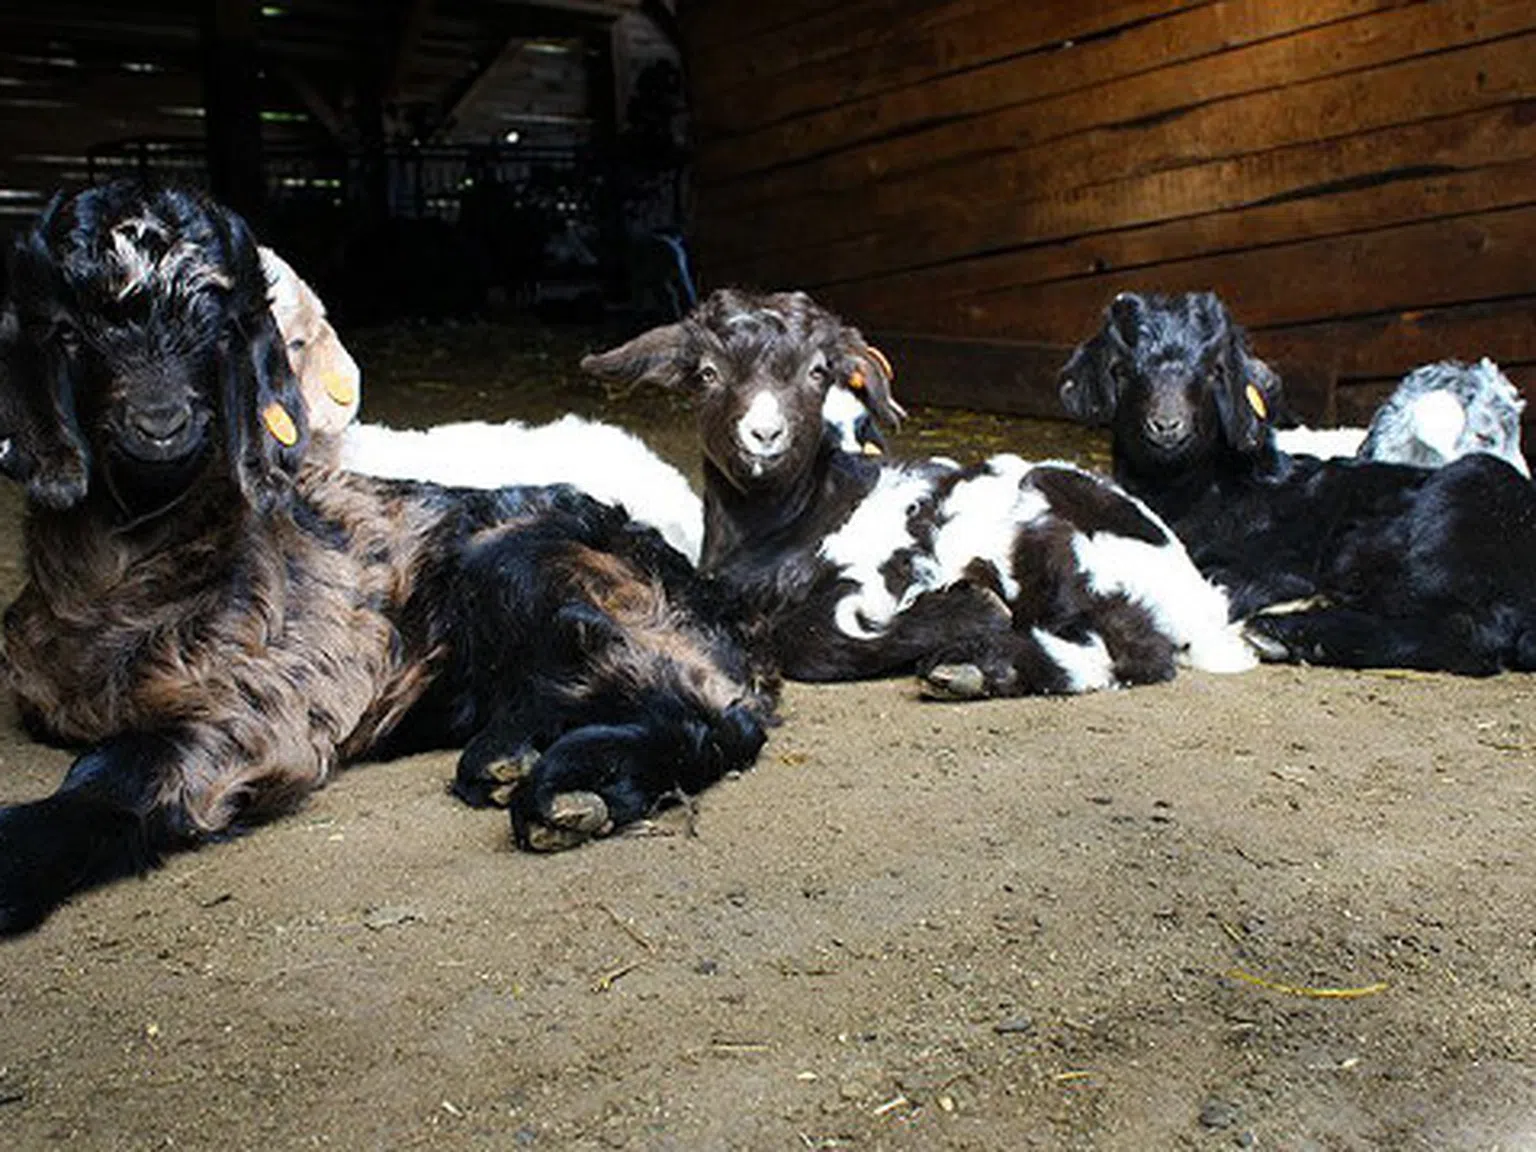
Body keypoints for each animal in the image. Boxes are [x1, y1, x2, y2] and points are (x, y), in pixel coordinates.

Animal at [0, 182, 774, 940]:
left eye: (220, 329)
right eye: (69, 331)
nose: (160, 424)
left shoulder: (264, 706)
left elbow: (114, 772)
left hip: (526, 566)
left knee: (711, 715)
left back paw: (563, 788)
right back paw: (509, 757)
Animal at [580, 293, 1253, 700]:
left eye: (817, 373)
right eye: (707, 374)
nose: (764, 433)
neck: (789, 523)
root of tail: (1195, 594)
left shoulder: (883, 568)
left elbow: (807, 636)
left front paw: (967, 607)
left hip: (1057, 534)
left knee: (1133, 650)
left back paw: (978, 658)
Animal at [1062, 288, 1536, 681]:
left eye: (1214, 370)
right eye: (1122, 370)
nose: (1166, 425)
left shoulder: (1281, 562)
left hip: (1456, 506)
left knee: (1464, 631)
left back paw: (1281, 631)